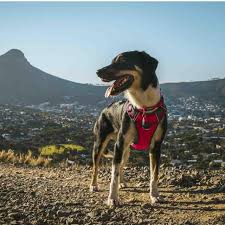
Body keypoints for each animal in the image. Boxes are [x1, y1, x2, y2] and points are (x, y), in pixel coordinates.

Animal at [89, 50, 167, 206]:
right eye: (112, 61)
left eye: (123, 61)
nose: (97, 72)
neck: (143, 106)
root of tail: (104, 110)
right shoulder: (119, 145)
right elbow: (113, 175)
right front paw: (112, 198)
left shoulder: (156, 147)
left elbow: (154, 175)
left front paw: (155, 195)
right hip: (100, 144)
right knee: (96, 166)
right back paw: (94, 185)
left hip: (126, 151)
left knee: (121, 166)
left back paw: (122, 182)